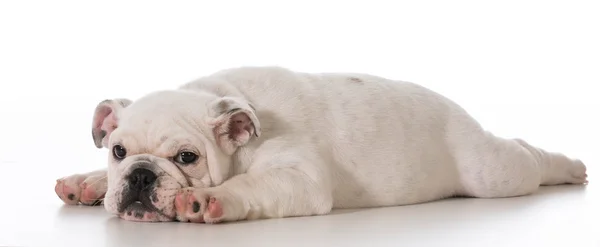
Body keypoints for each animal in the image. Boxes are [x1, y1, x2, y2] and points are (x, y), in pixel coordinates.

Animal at [54, 66, 588, 224]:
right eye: (118, 152)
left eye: (187, 158)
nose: (142, 175)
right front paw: (88, 182)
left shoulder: (299, 177)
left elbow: (249, 185)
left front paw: (209, 198)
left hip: (490, 172)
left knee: (524, 155)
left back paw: (568, 166)